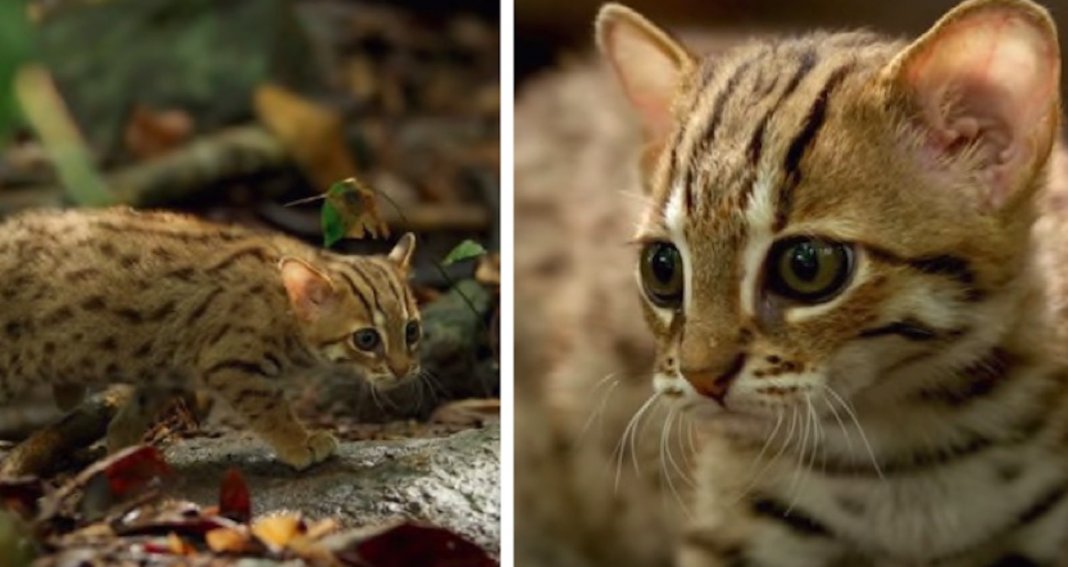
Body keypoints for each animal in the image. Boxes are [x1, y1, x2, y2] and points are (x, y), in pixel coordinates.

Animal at [0, 208, 422, 469]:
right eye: (366, 339)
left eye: (412, 331)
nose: (404, 371)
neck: (284, 307)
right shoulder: (230, 363)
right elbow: (273, 409)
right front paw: (299, 442)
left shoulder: (168, 370)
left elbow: (128, 419)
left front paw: (124, 453)